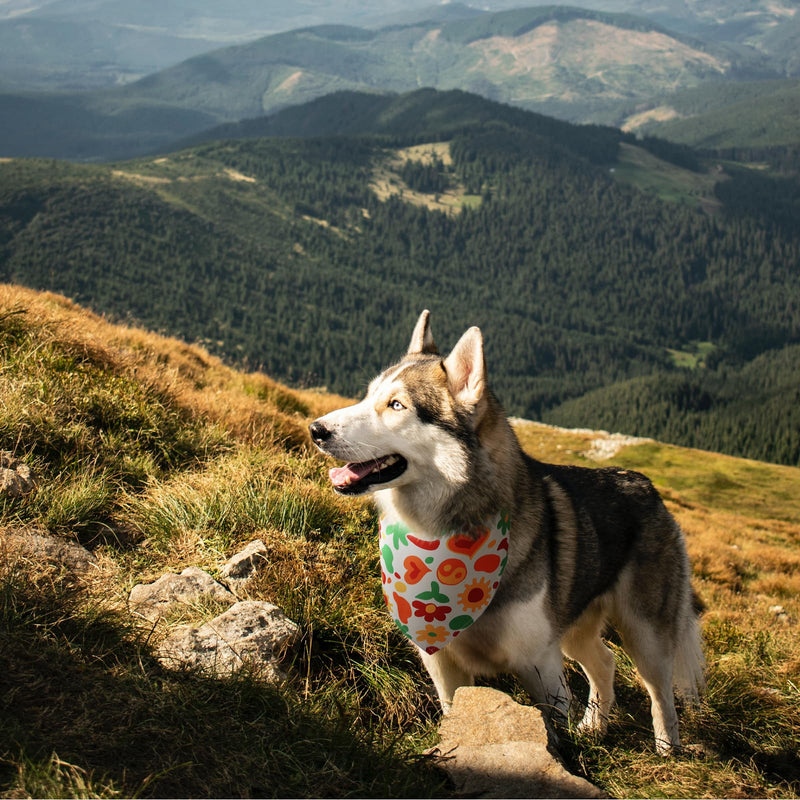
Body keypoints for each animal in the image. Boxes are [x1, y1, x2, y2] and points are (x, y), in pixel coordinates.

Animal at [310, 310, 704, 752]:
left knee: (660, 692)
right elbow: (453, 713)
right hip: (573, 628)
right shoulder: (442, 662)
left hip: (645, 632)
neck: (443, 537)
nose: (316, 429)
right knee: (605, 662)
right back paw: (593, 727)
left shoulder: (540, 666)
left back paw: (667, 748)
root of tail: (647, 485)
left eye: (396, 405)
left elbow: (552, 730)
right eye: (367, 396)